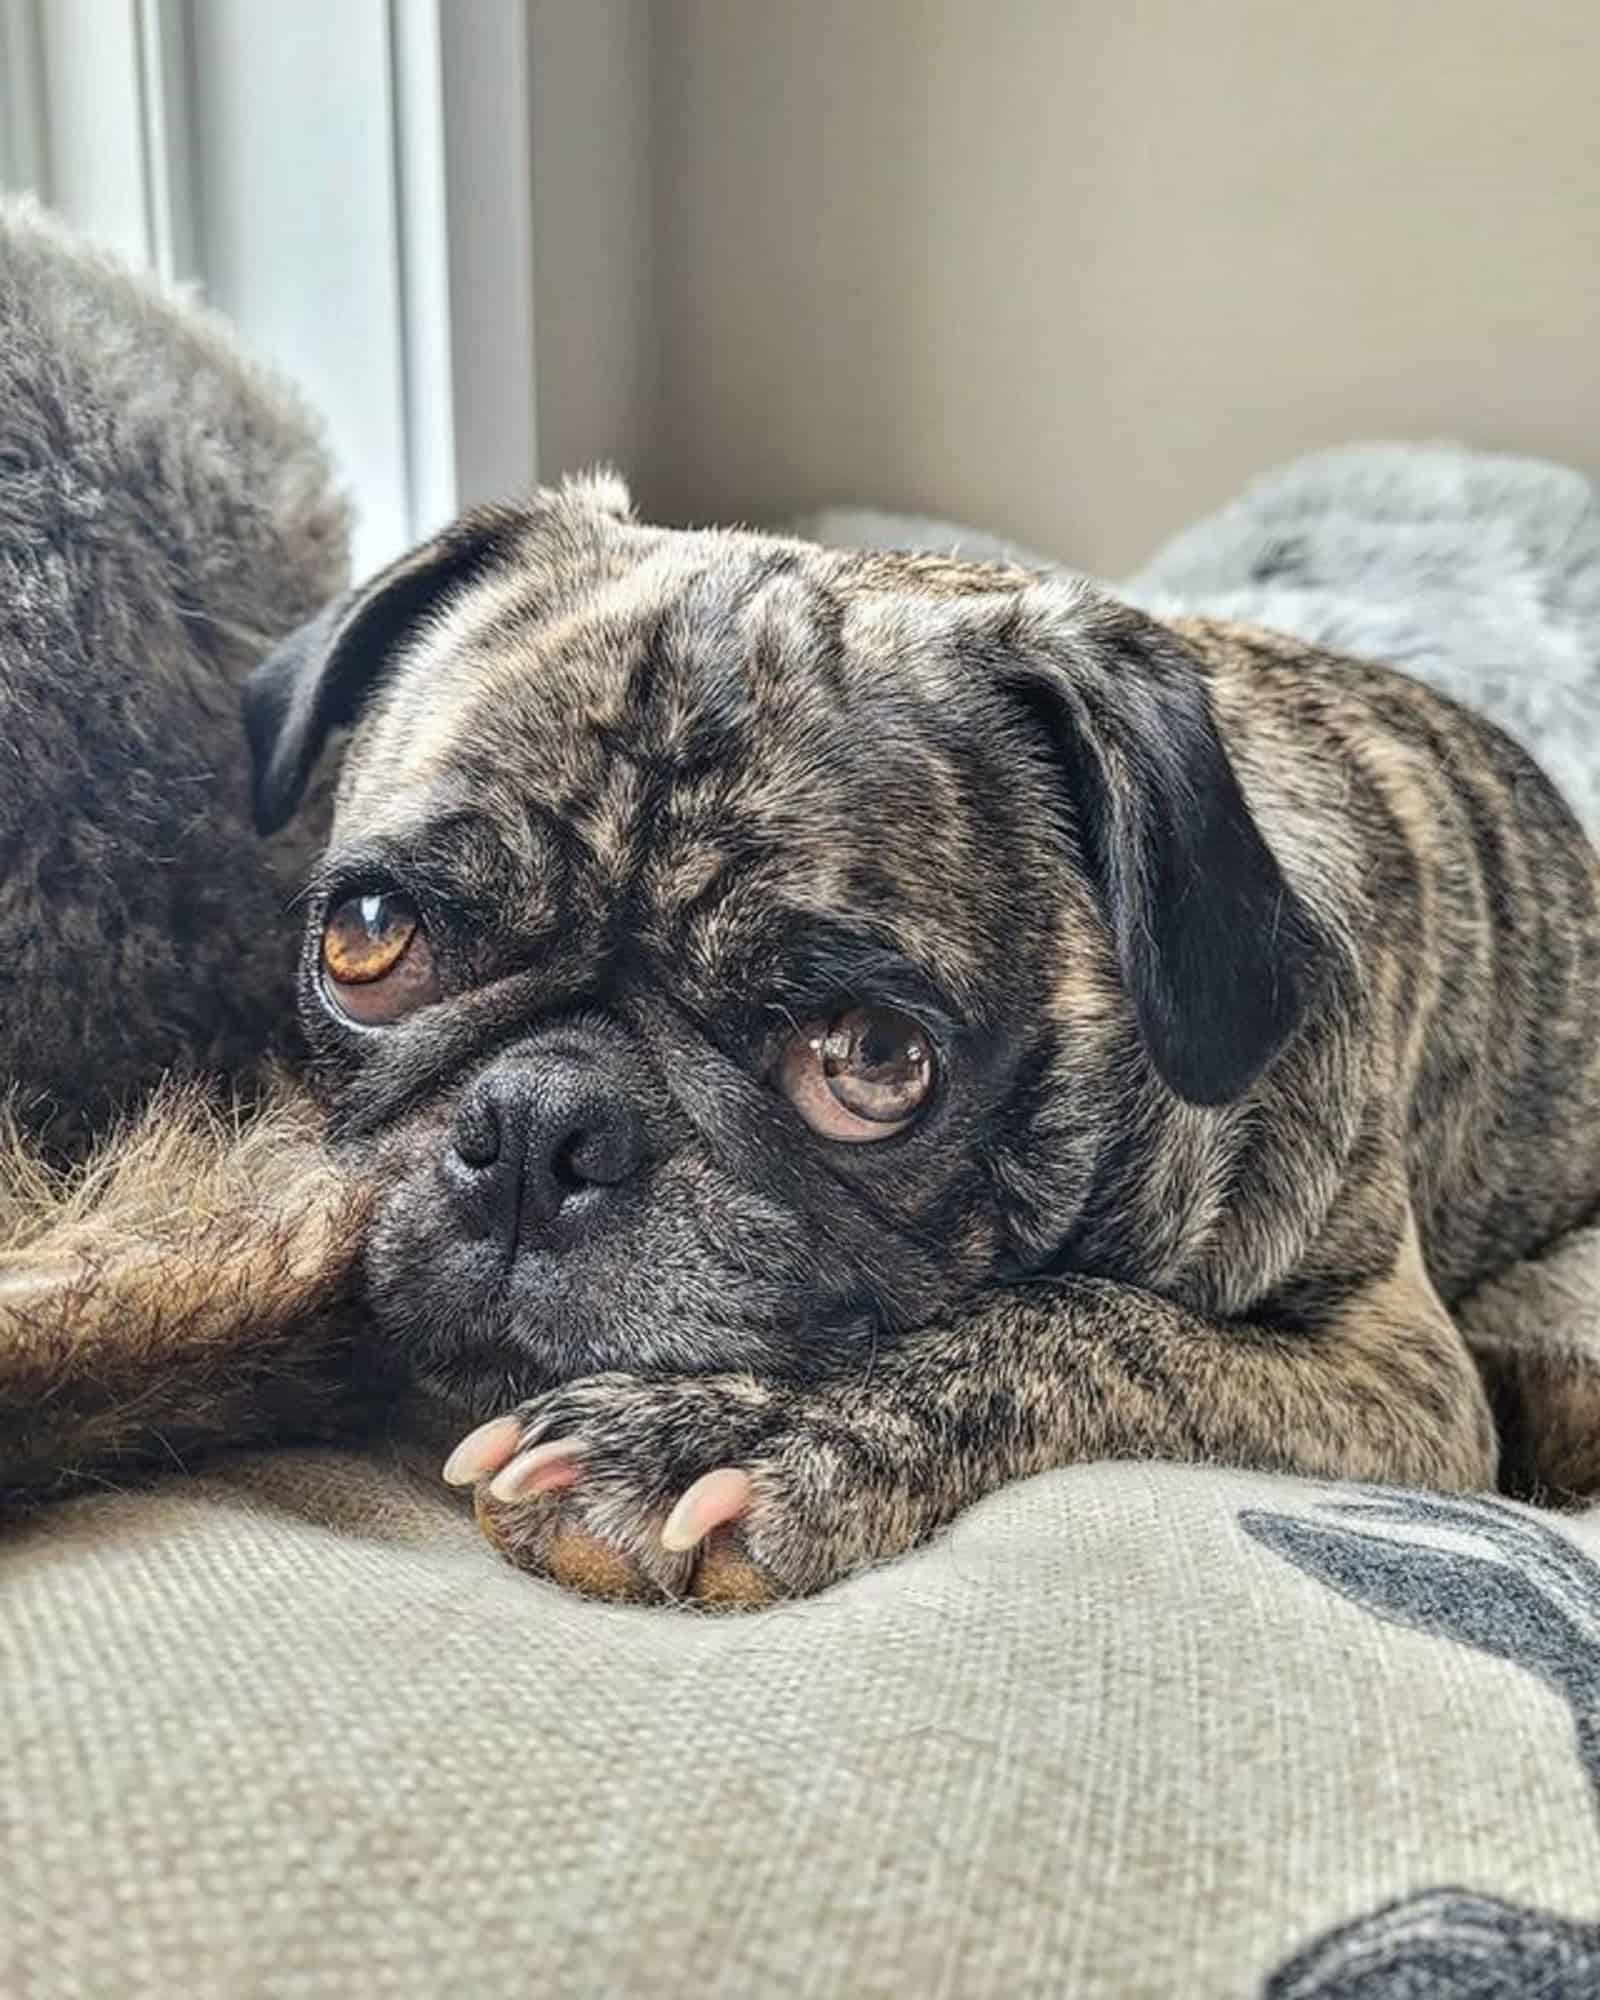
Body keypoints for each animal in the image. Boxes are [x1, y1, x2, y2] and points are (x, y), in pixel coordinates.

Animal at [9, 472, 1600, 1608]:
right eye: (370, 936)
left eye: (872, 1061)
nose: (537, 1125)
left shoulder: (1398, 1385)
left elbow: (1081, 1320)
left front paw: (732, 1434)